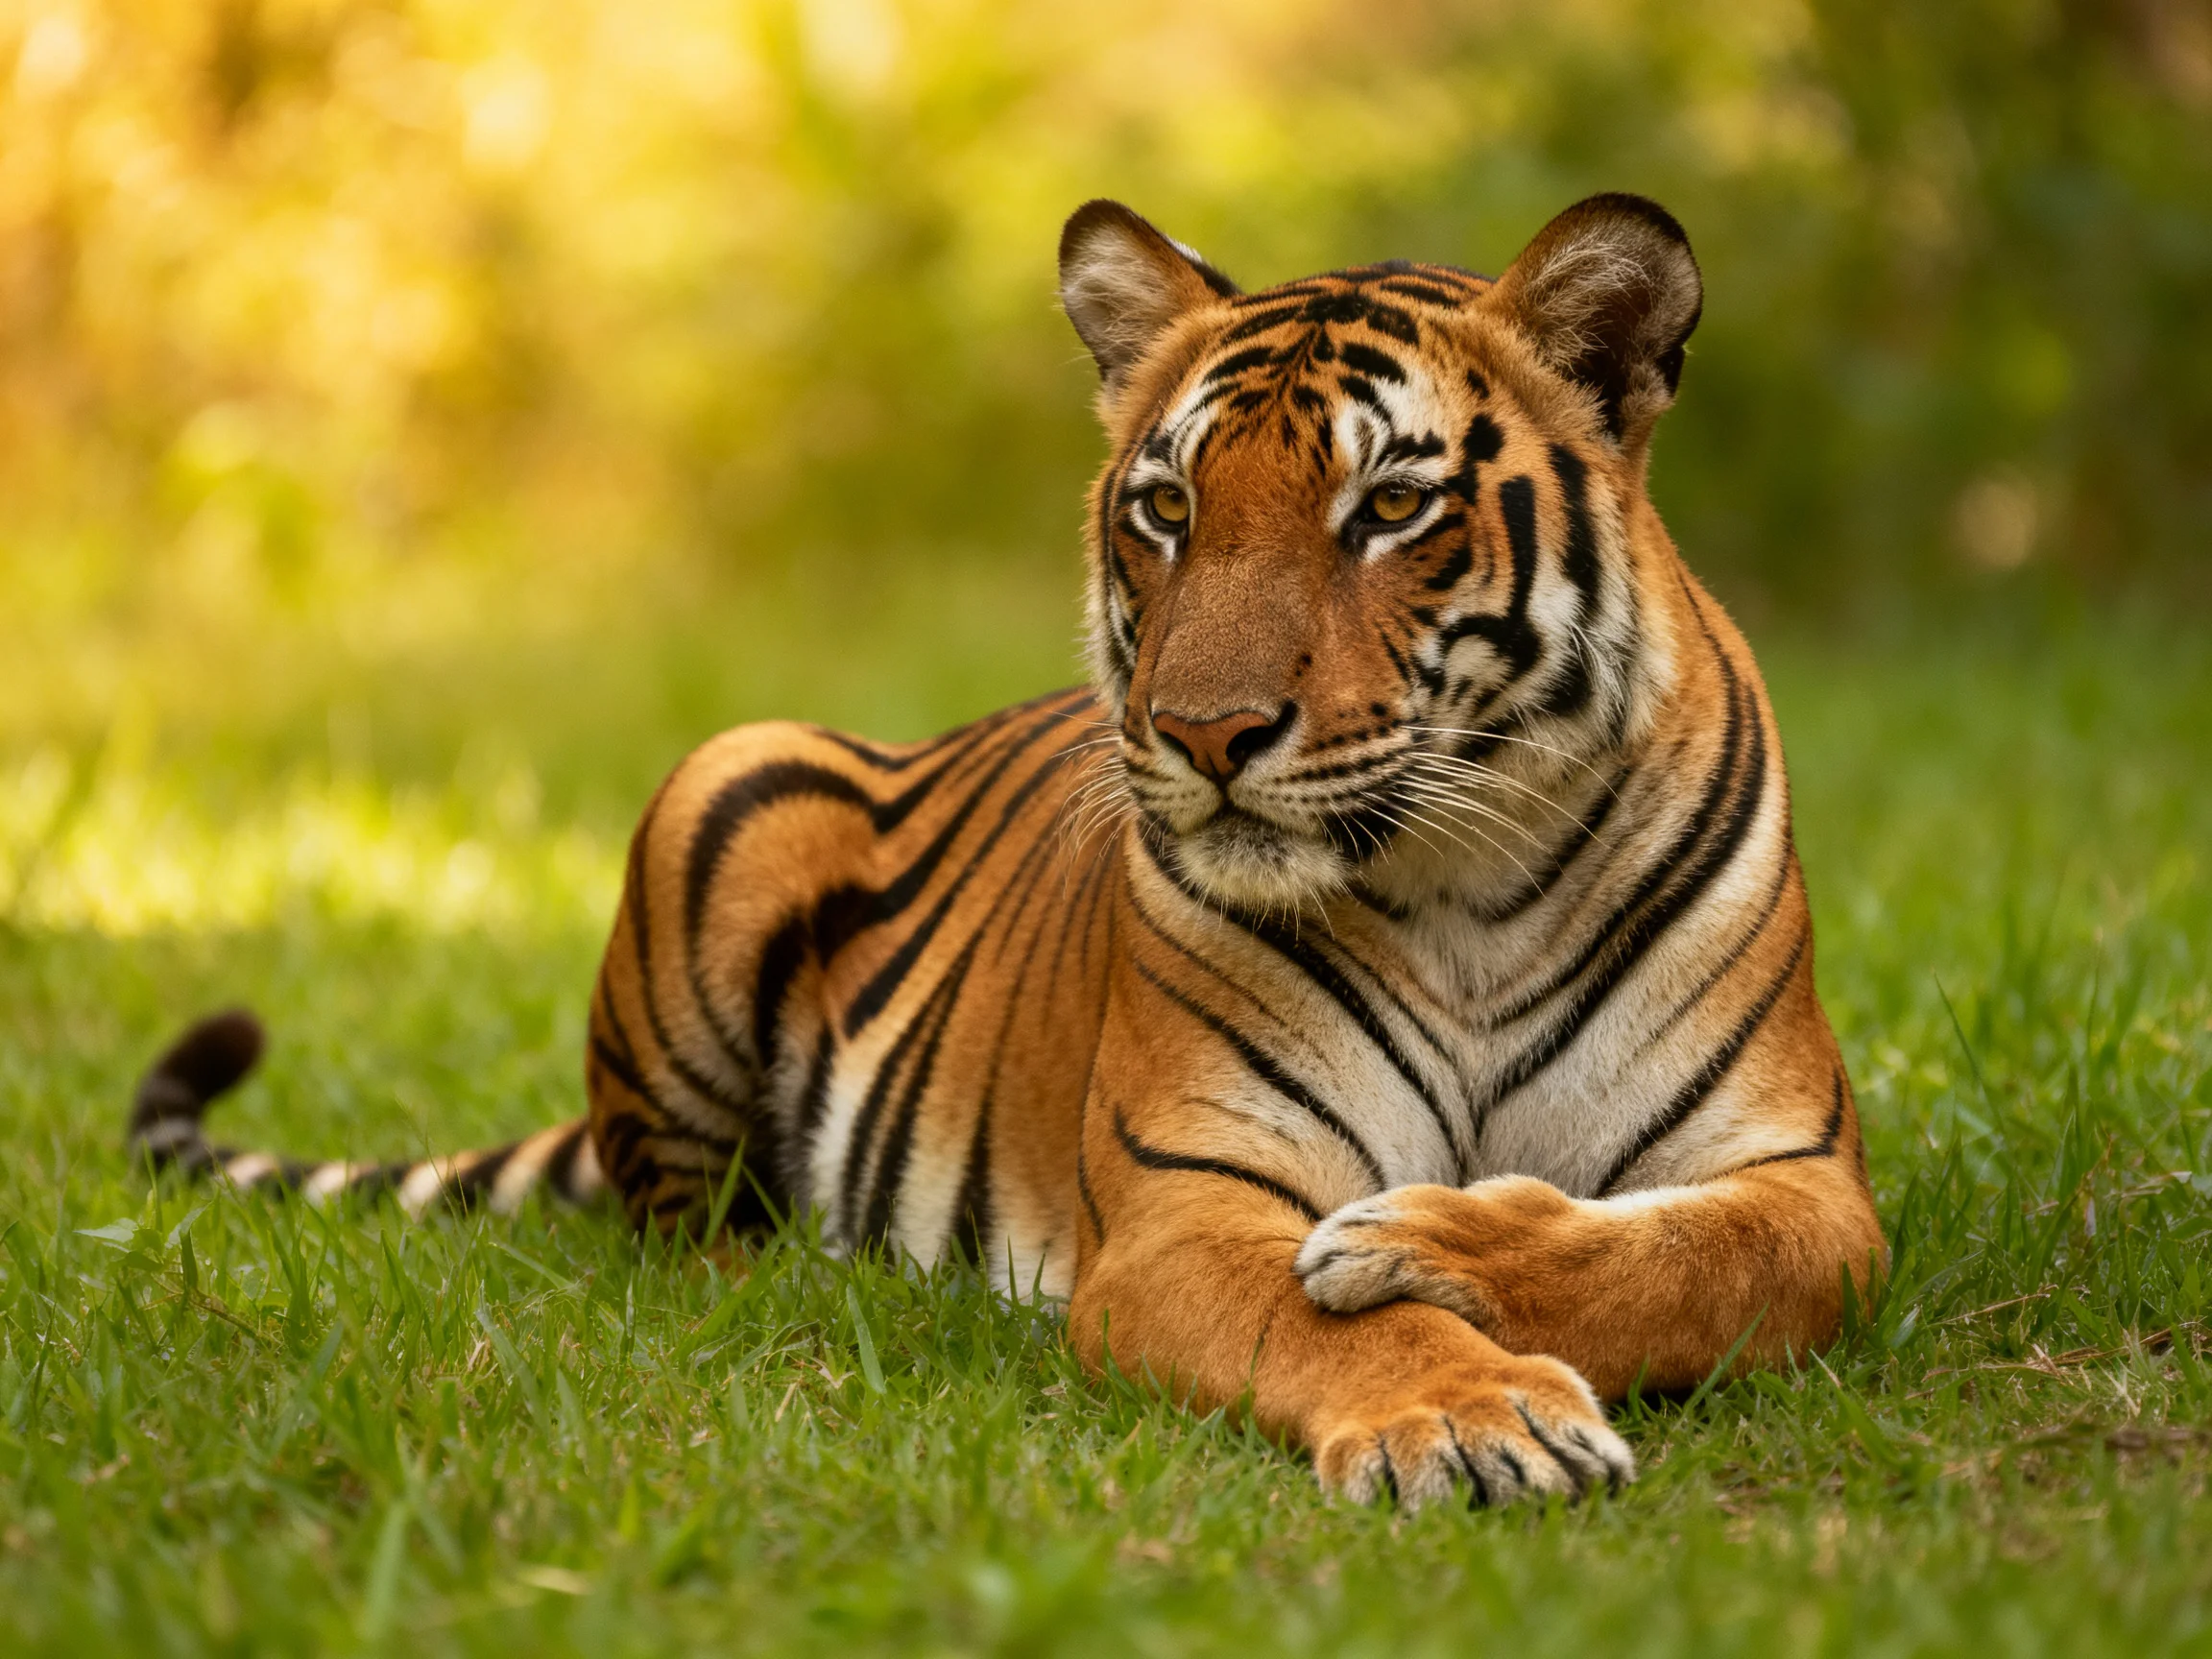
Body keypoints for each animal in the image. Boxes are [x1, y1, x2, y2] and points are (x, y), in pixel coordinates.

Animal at [132, 192, 1886, 1509]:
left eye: (1389, 508)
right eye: (1167, 508)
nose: (1201, 732)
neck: (1466, 893)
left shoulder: (1803, 1180)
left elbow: (1693, 1262)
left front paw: (1419, 1239)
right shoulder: (1189, 1207)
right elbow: (1326, 1322)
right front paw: (1475, 1417)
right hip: (726, 784)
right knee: (670, 1234)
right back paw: (811, 1272)